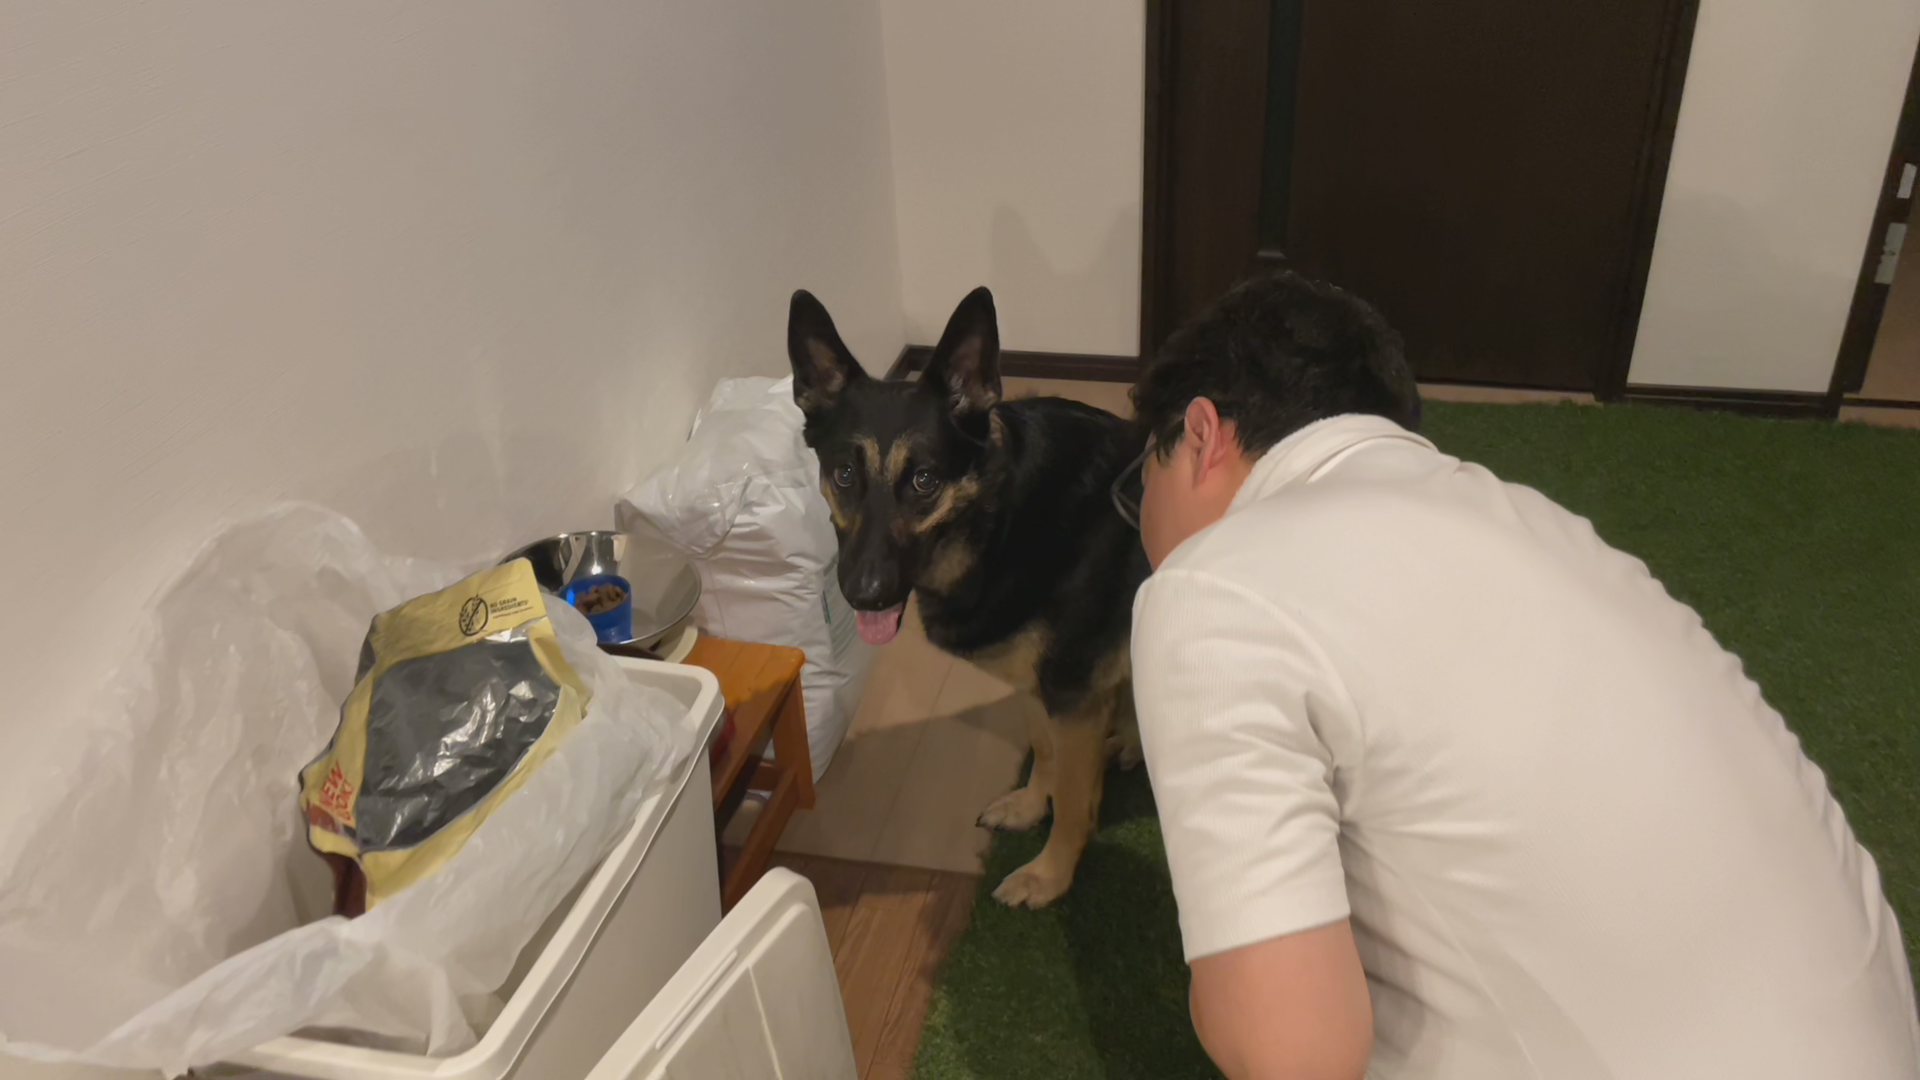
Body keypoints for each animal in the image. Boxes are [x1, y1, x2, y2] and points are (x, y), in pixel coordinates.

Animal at [785, 286, 1151, 908]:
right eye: (843, 475)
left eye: (925, 481)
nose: (865, 596)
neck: (1004, 515)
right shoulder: (1039, 686)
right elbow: (1045, 752)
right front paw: (1030, 806)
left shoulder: (1071, 695)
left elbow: (1073, 803)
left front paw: (1049, 876)